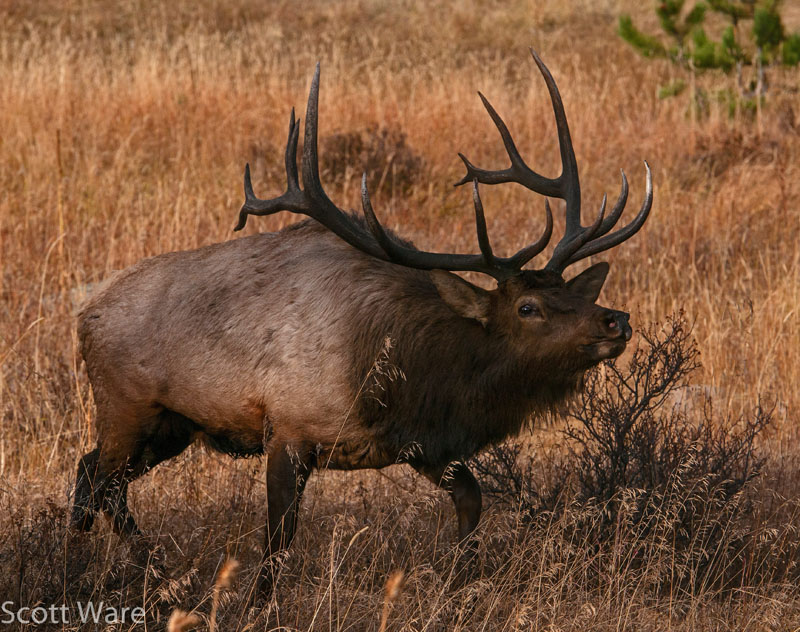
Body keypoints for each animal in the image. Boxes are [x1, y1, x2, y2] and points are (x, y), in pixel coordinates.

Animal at [70, 50, 652, 598]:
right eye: (527, 307)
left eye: (567, 291)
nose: (615, 320)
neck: (403, 376)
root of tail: (85, 317)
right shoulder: (289, 427)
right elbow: (278, 538)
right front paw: (257, 605)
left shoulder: (419, 443)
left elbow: (471, 497)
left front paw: (464, 577)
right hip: (127, 407)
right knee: (102, 482)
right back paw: (138, 570)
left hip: (172, 426)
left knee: (87, 472)